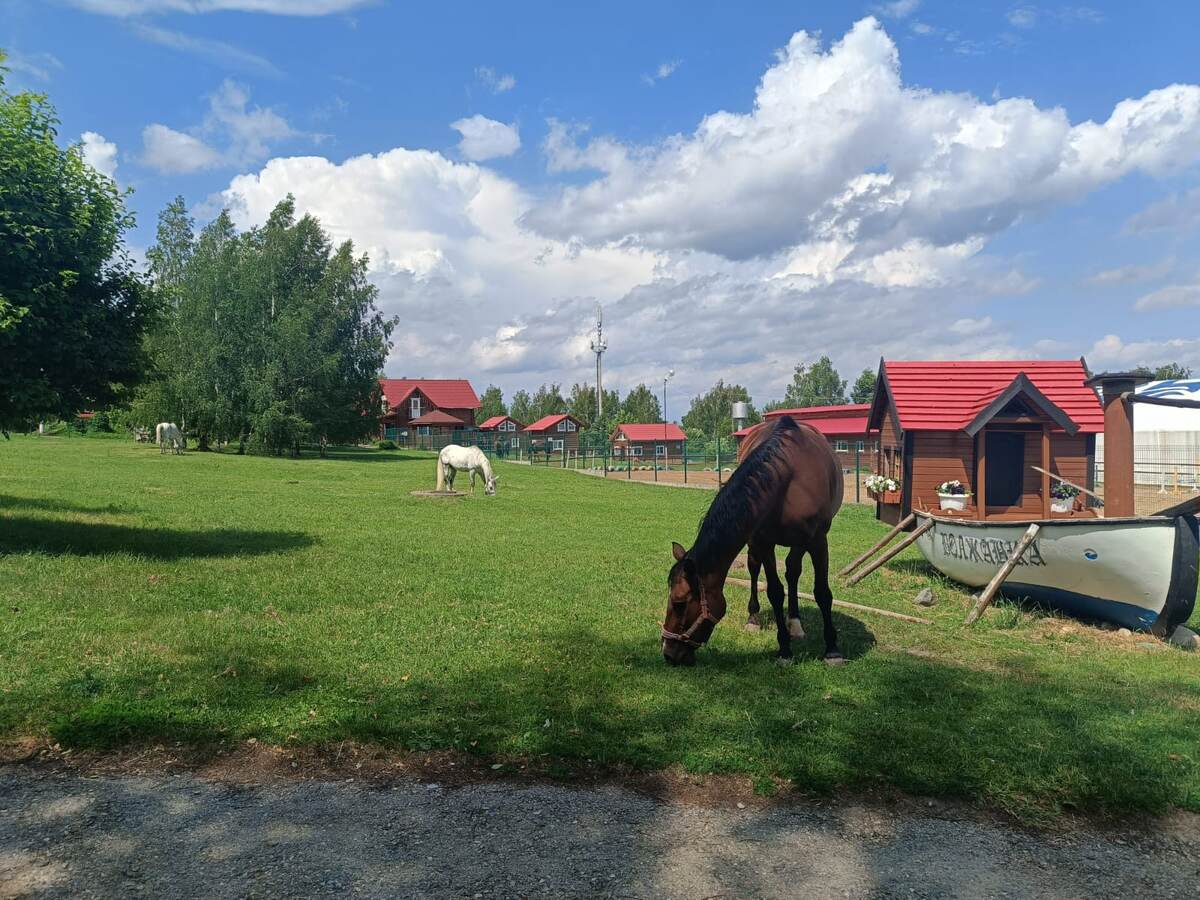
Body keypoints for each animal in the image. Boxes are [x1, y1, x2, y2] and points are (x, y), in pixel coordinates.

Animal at [667, 420, 844, 667]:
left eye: (680, 603)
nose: (668, 653)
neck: (788, 480)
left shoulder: (818, 541)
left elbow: (822, 593)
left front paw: (832, 650)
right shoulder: (763, 541)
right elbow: (775, 592)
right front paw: (784, 650)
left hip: (800, 543)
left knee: (793, 571)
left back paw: (795, 623)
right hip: (755, 542)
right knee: (755, 569)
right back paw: (754, 618)